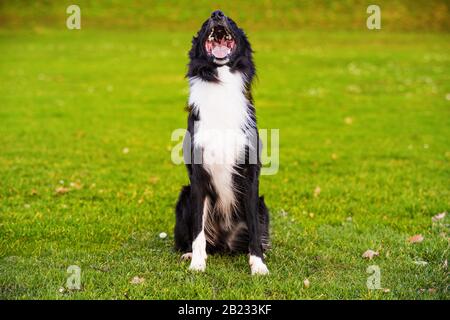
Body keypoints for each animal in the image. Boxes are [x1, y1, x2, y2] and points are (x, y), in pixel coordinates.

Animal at [174, 10, 268, 276]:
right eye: (206, 22)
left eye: (232, 21)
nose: (217, 14)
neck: (221, 82)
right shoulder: (197, 176)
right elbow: (198, 230)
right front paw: (197, 263)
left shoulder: (250, 173)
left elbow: (254, 229)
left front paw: (258, 264)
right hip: (184, 197)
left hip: (262, 206)